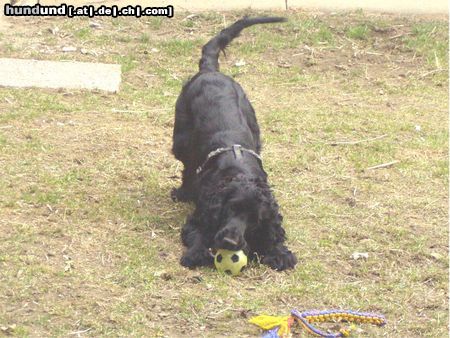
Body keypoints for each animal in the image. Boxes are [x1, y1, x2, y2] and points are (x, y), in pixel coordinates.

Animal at [171, 16, 298, 272]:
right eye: (231, 208)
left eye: (254, 219)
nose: (230, 242)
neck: (240, 173)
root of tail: (210, 71)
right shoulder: (201, 215)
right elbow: (197, 233)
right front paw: (196, 253)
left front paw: (280, 253)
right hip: (180, 137)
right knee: (187, 166)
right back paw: (183, 192)